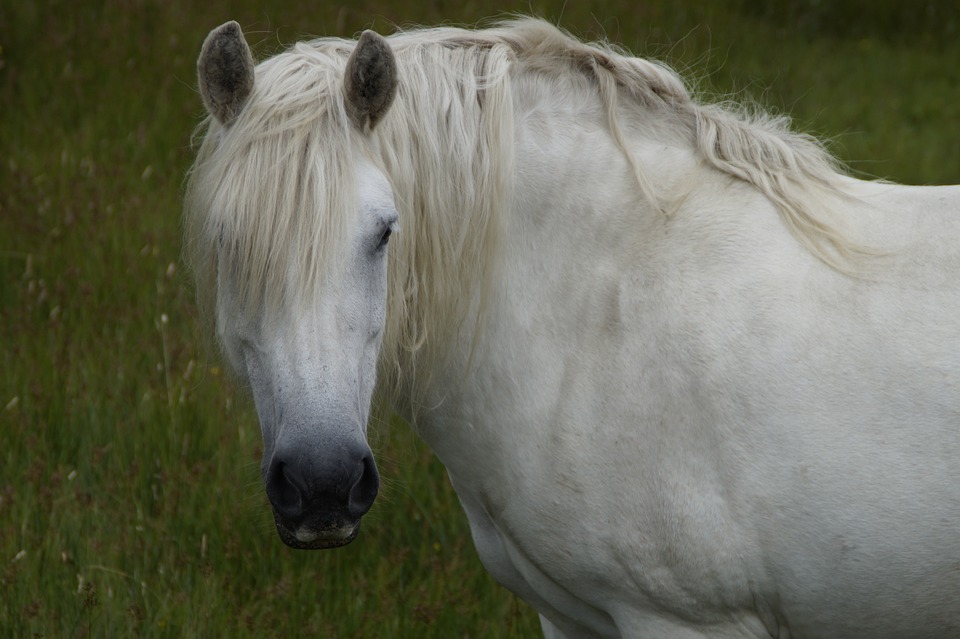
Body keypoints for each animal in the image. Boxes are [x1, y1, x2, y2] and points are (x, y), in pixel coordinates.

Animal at [186, 17, 960, 636]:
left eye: (383, 232)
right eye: (226, 241)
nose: (322, 483)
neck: (599, 313)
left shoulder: (684, 620)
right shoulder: (570, 617)